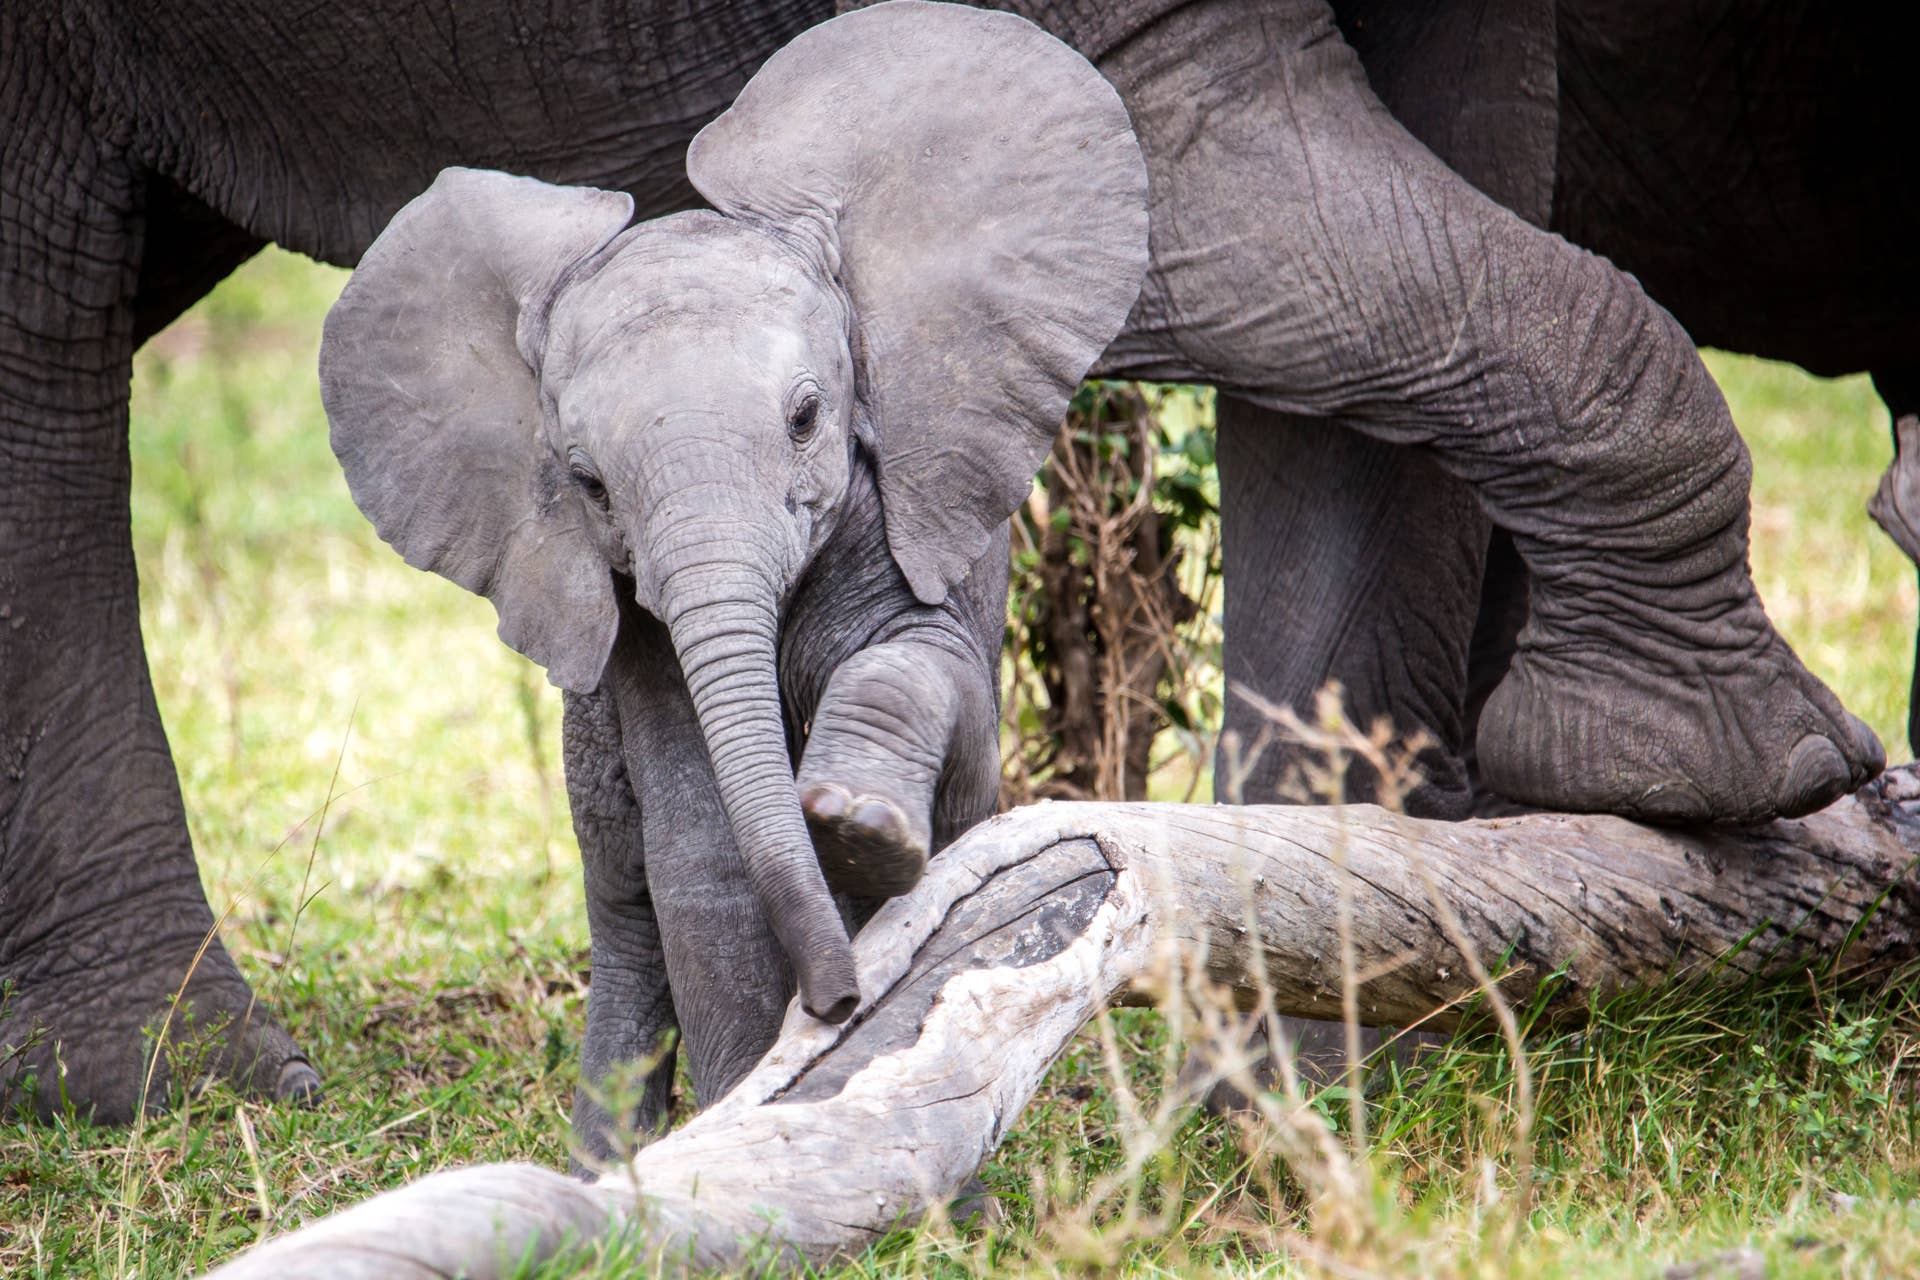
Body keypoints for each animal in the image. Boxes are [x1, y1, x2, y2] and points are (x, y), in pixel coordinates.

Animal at [2, 0, 1888, 1125]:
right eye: (584, 485)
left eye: (813, 420)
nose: (849, 999)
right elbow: (697, 832)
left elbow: (1445, 263)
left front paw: (1294, 1073)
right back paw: (210, 1098)